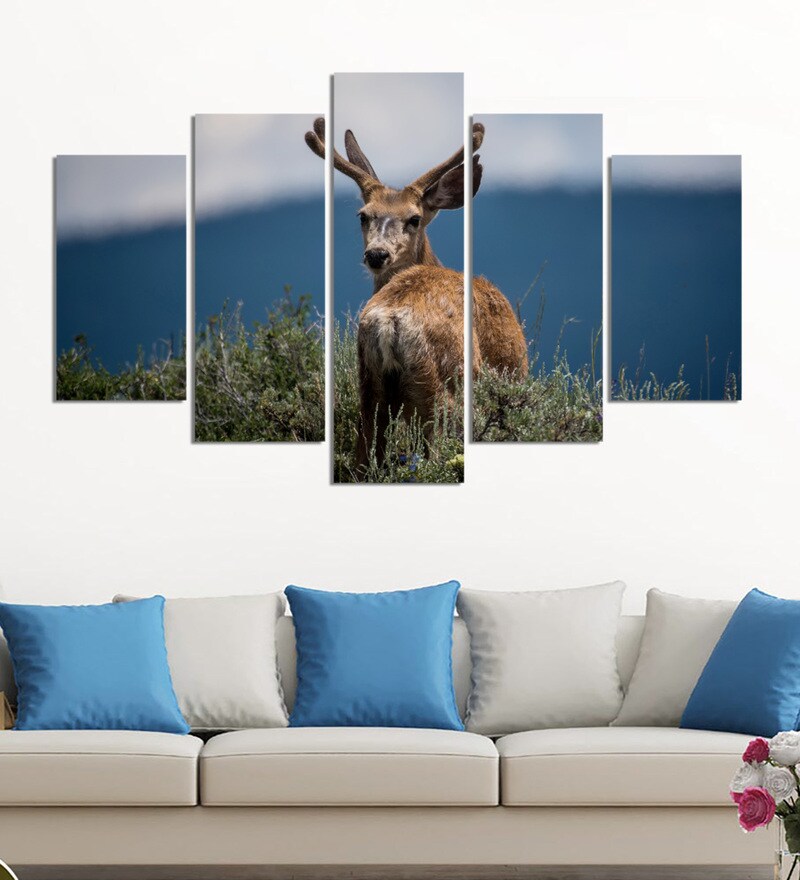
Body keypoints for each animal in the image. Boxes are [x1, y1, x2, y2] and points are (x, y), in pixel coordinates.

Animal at [305, 117, 527, 472]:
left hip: (369, 385)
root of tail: (390, 320)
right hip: (444, 384)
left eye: (414, 218)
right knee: (437, 454)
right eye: (363, 215)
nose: (377, 254)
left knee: (363, 458)